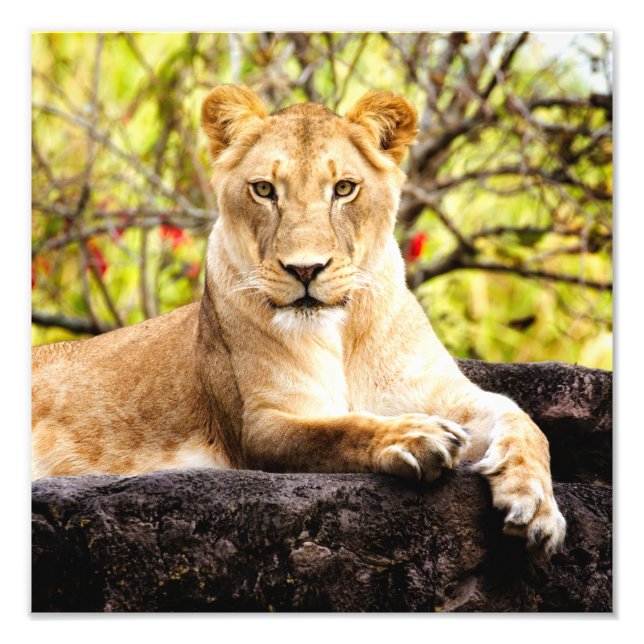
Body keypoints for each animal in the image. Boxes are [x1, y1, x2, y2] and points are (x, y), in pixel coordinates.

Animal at [32, 85, 566, 554]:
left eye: (344, 188)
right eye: (264, 190)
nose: (305, 269)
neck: (343, 332)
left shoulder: (444, 393)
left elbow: (524, 420)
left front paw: (537, 506)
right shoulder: (262, 423)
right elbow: (338, 430)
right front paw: (414, 438)